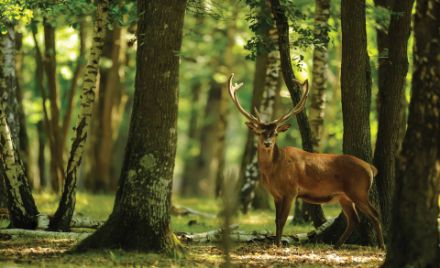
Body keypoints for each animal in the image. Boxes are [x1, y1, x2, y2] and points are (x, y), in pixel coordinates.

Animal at [229, 74, 384, 249]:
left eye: (275, 133)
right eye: (260, 132)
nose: (267, 143)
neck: (274, 169)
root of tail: (371, 167)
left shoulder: (291, 190)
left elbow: (282, 220)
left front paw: (279, 244)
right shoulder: (276, 194)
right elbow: (276, 220)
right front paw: (276, 243)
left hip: (359, 191)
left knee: (375, 214)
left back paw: (381, 245)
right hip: (344, 196)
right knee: (354, 219)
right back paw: (337, 245)